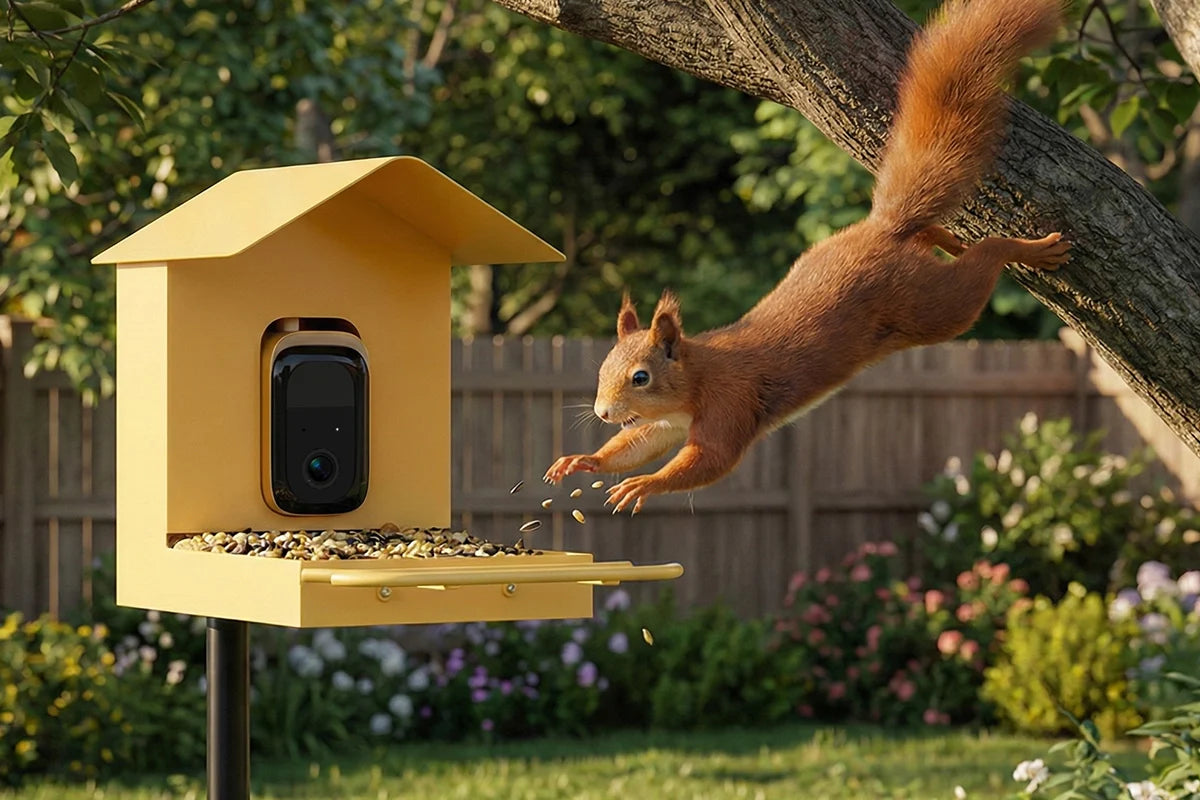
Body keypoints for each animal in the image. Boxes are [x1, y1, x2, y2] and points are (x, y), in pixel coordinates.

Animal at [544, 0, 1070, 514]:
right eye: (602, 368)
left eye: (641, 377)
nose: (602, 412)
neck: (696, 376)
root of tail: (884, 230)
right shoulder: (666, 423)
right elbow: (639, 443)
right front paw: (584, 460)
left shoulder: (730, 403)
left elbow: (710, 460)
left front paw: (645, 484)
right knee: (931, 236)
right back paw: (950, 238)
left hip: (933, 307)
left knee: (983, 263)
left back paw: (1029, 249)